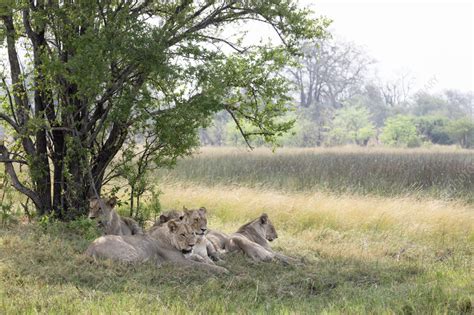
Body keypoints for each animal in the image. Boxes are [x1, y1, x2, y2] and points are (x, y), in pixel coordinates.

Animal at [85, 220, 230, 274]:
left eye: (192, 233)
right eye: (182, 234)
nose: (192, 244)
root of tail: (90, 247)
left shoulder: (186, 256)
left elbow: (199, 258)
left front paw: (212, 261)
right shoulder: (181, 262)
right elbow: (203, 266)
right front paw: (222, 269)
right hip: (133, 252)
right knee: (128, 265)